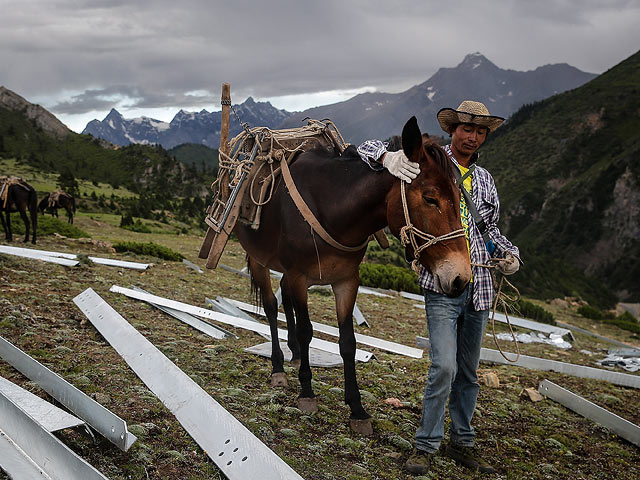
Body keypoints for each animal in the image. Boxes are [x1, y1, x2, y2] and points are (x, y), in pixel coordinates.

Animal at [235, 117, 470, 436]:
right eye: (430, 198)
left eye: (460, 198)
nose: (461, 278)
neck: (334, 208)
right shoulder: (299, 276)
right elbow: (308, 330)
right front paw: (307, 392)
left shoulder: (346, 281)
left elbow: (348, 342)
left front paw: (357, 409)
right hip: (260, 261)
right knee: (272, 307)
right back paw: (279, 367)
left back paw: (295, 354)